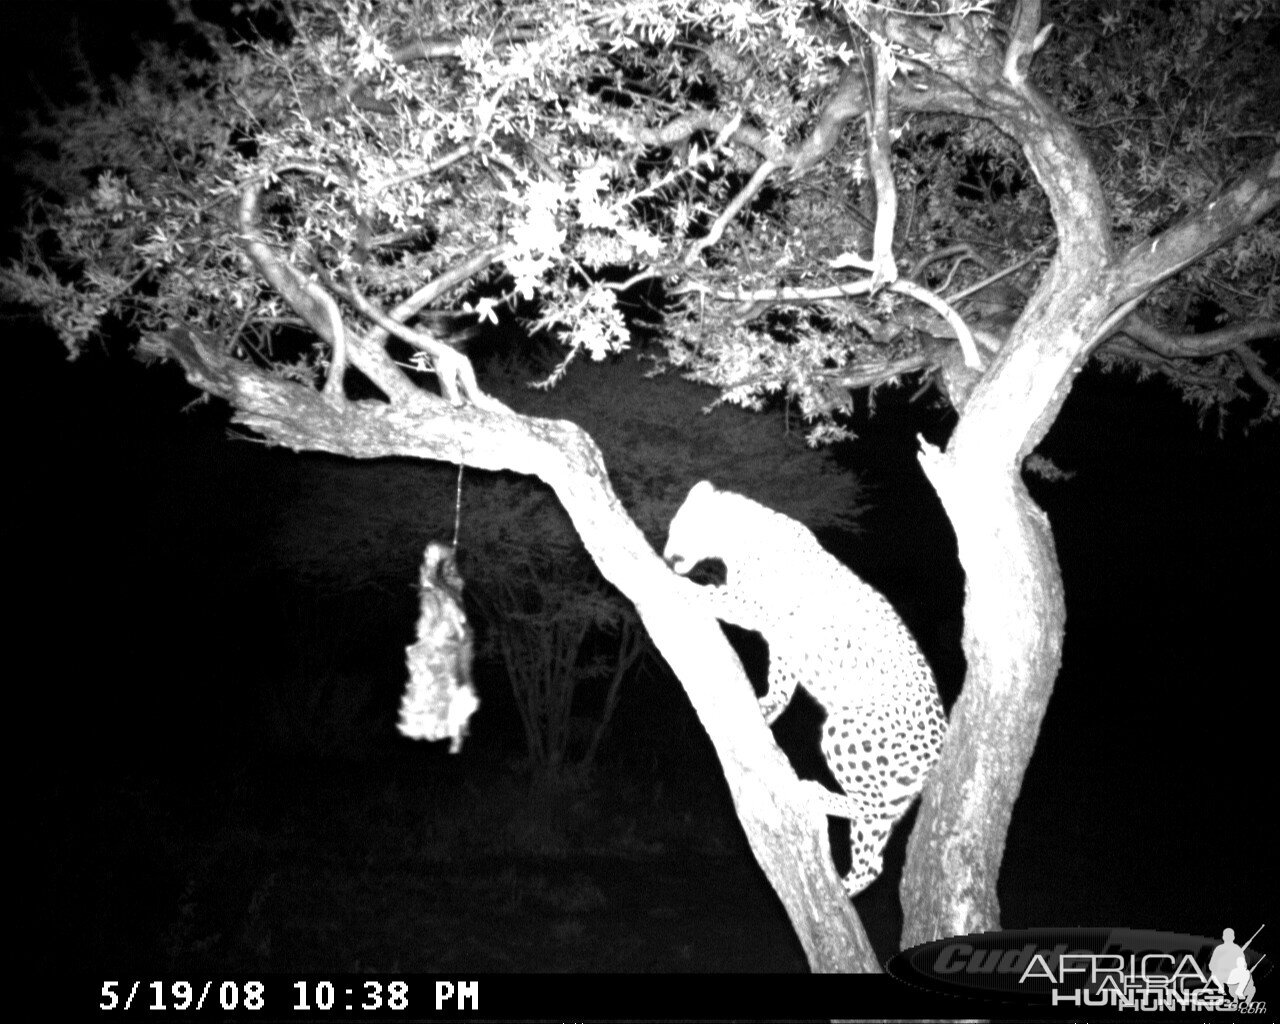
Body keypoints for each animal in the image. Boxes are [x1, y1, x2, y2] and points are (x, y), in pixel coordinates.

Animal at [665, 481, 947, 896]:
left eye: (678, 526)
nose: (668, 557)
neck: (740, 535)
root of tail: (940, 745)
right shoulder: (782, 637)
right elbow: (782, 679)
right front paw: (768, 707)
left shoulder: (759, 606)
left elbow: (717, 595)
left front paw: (667, 578)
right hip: (889, 784)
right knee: (874, 857)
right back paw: (843, 886)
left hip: (848, 731)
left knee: (872, 809)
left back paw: (817, 797)